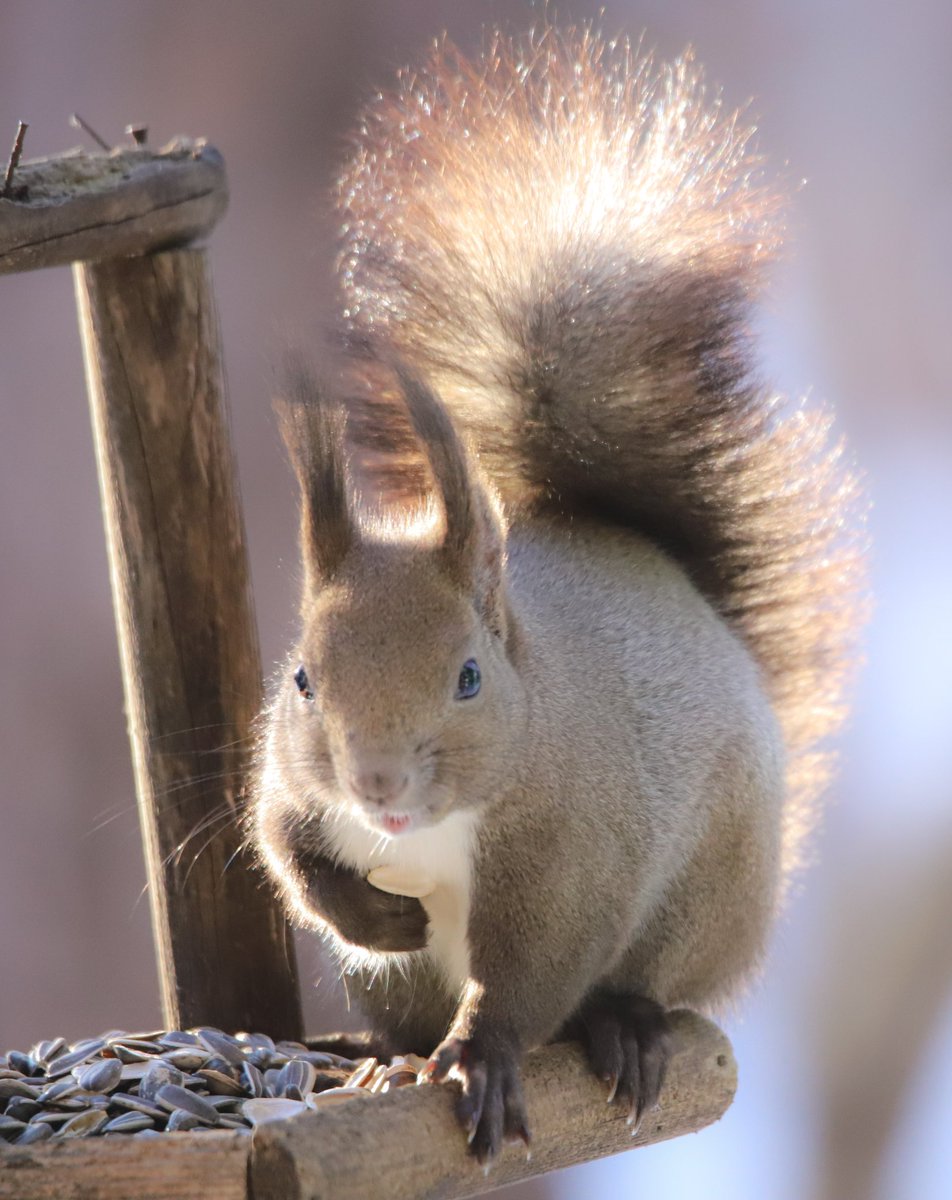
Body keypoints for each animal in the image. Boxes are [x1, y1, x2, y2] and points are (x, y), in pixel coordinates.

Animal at [251, 26, 864, 1162]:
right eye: (302, 678)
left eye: (468, 677)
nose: (378, 785)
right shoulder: (290, 785)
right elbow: (287, 852)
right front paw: (375, 917)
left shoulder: (568, 860)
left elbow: (527, 977)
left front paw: (482, 1060)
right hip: (390, 983)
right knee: (394, 1004)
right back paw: (374, 1055)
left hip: (703, 900)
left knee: (633, 986)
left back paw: (622, 1025)